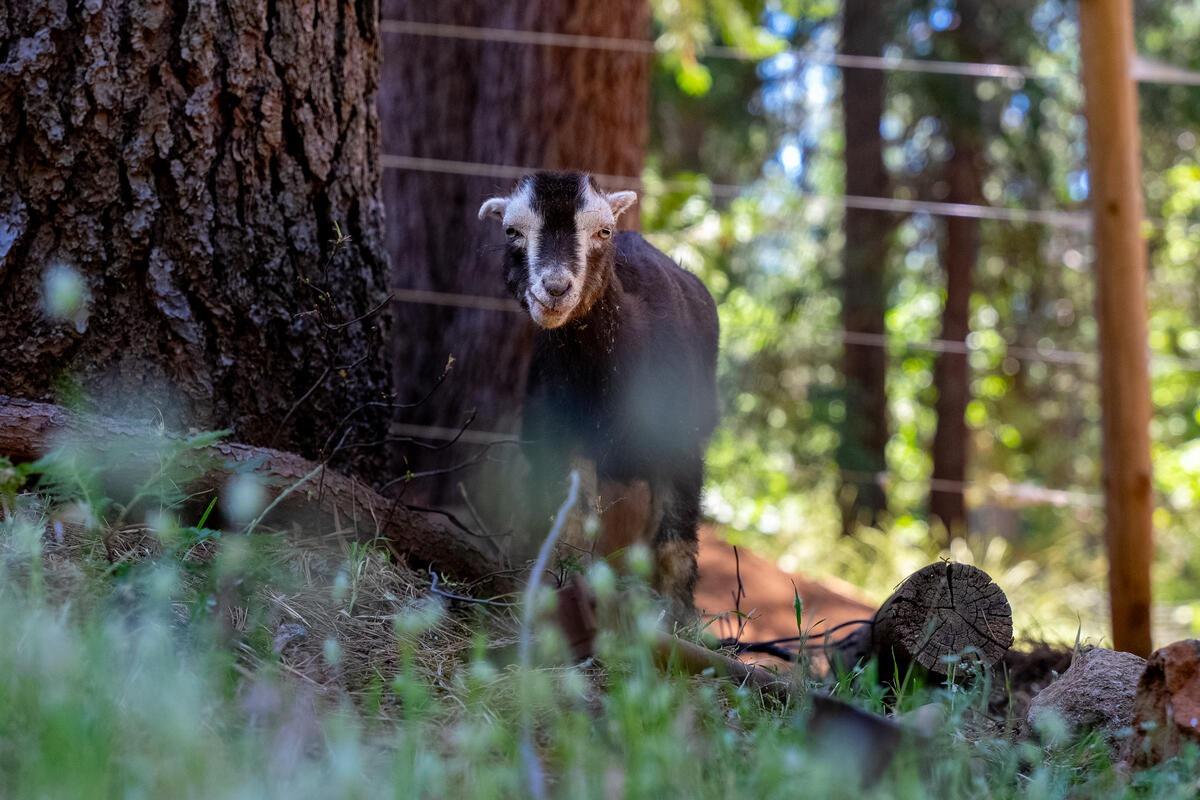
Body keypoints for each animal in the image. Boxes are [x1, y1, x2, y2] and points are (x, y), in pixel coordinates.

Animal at [480, 169, 720, 618]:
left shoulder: (681, 442)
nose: (556, 287)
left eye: (604, 231)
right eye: (511, 232)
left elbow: (675, 541)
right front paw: (566, 592)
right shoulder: (561, 436)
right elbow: (572, 524)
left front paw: (676, 617)